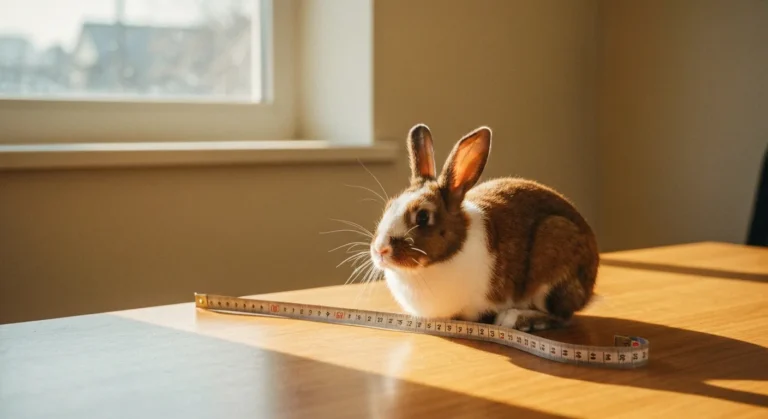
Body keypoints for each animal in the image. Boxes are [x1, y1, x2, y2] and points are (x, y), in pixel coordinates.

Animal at [369, 123, 599, 331]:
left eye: (423, 217)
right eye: (389, 205)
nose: (380, 250)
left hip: (554, 254)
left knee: (562, 316)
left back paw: (515, 319)